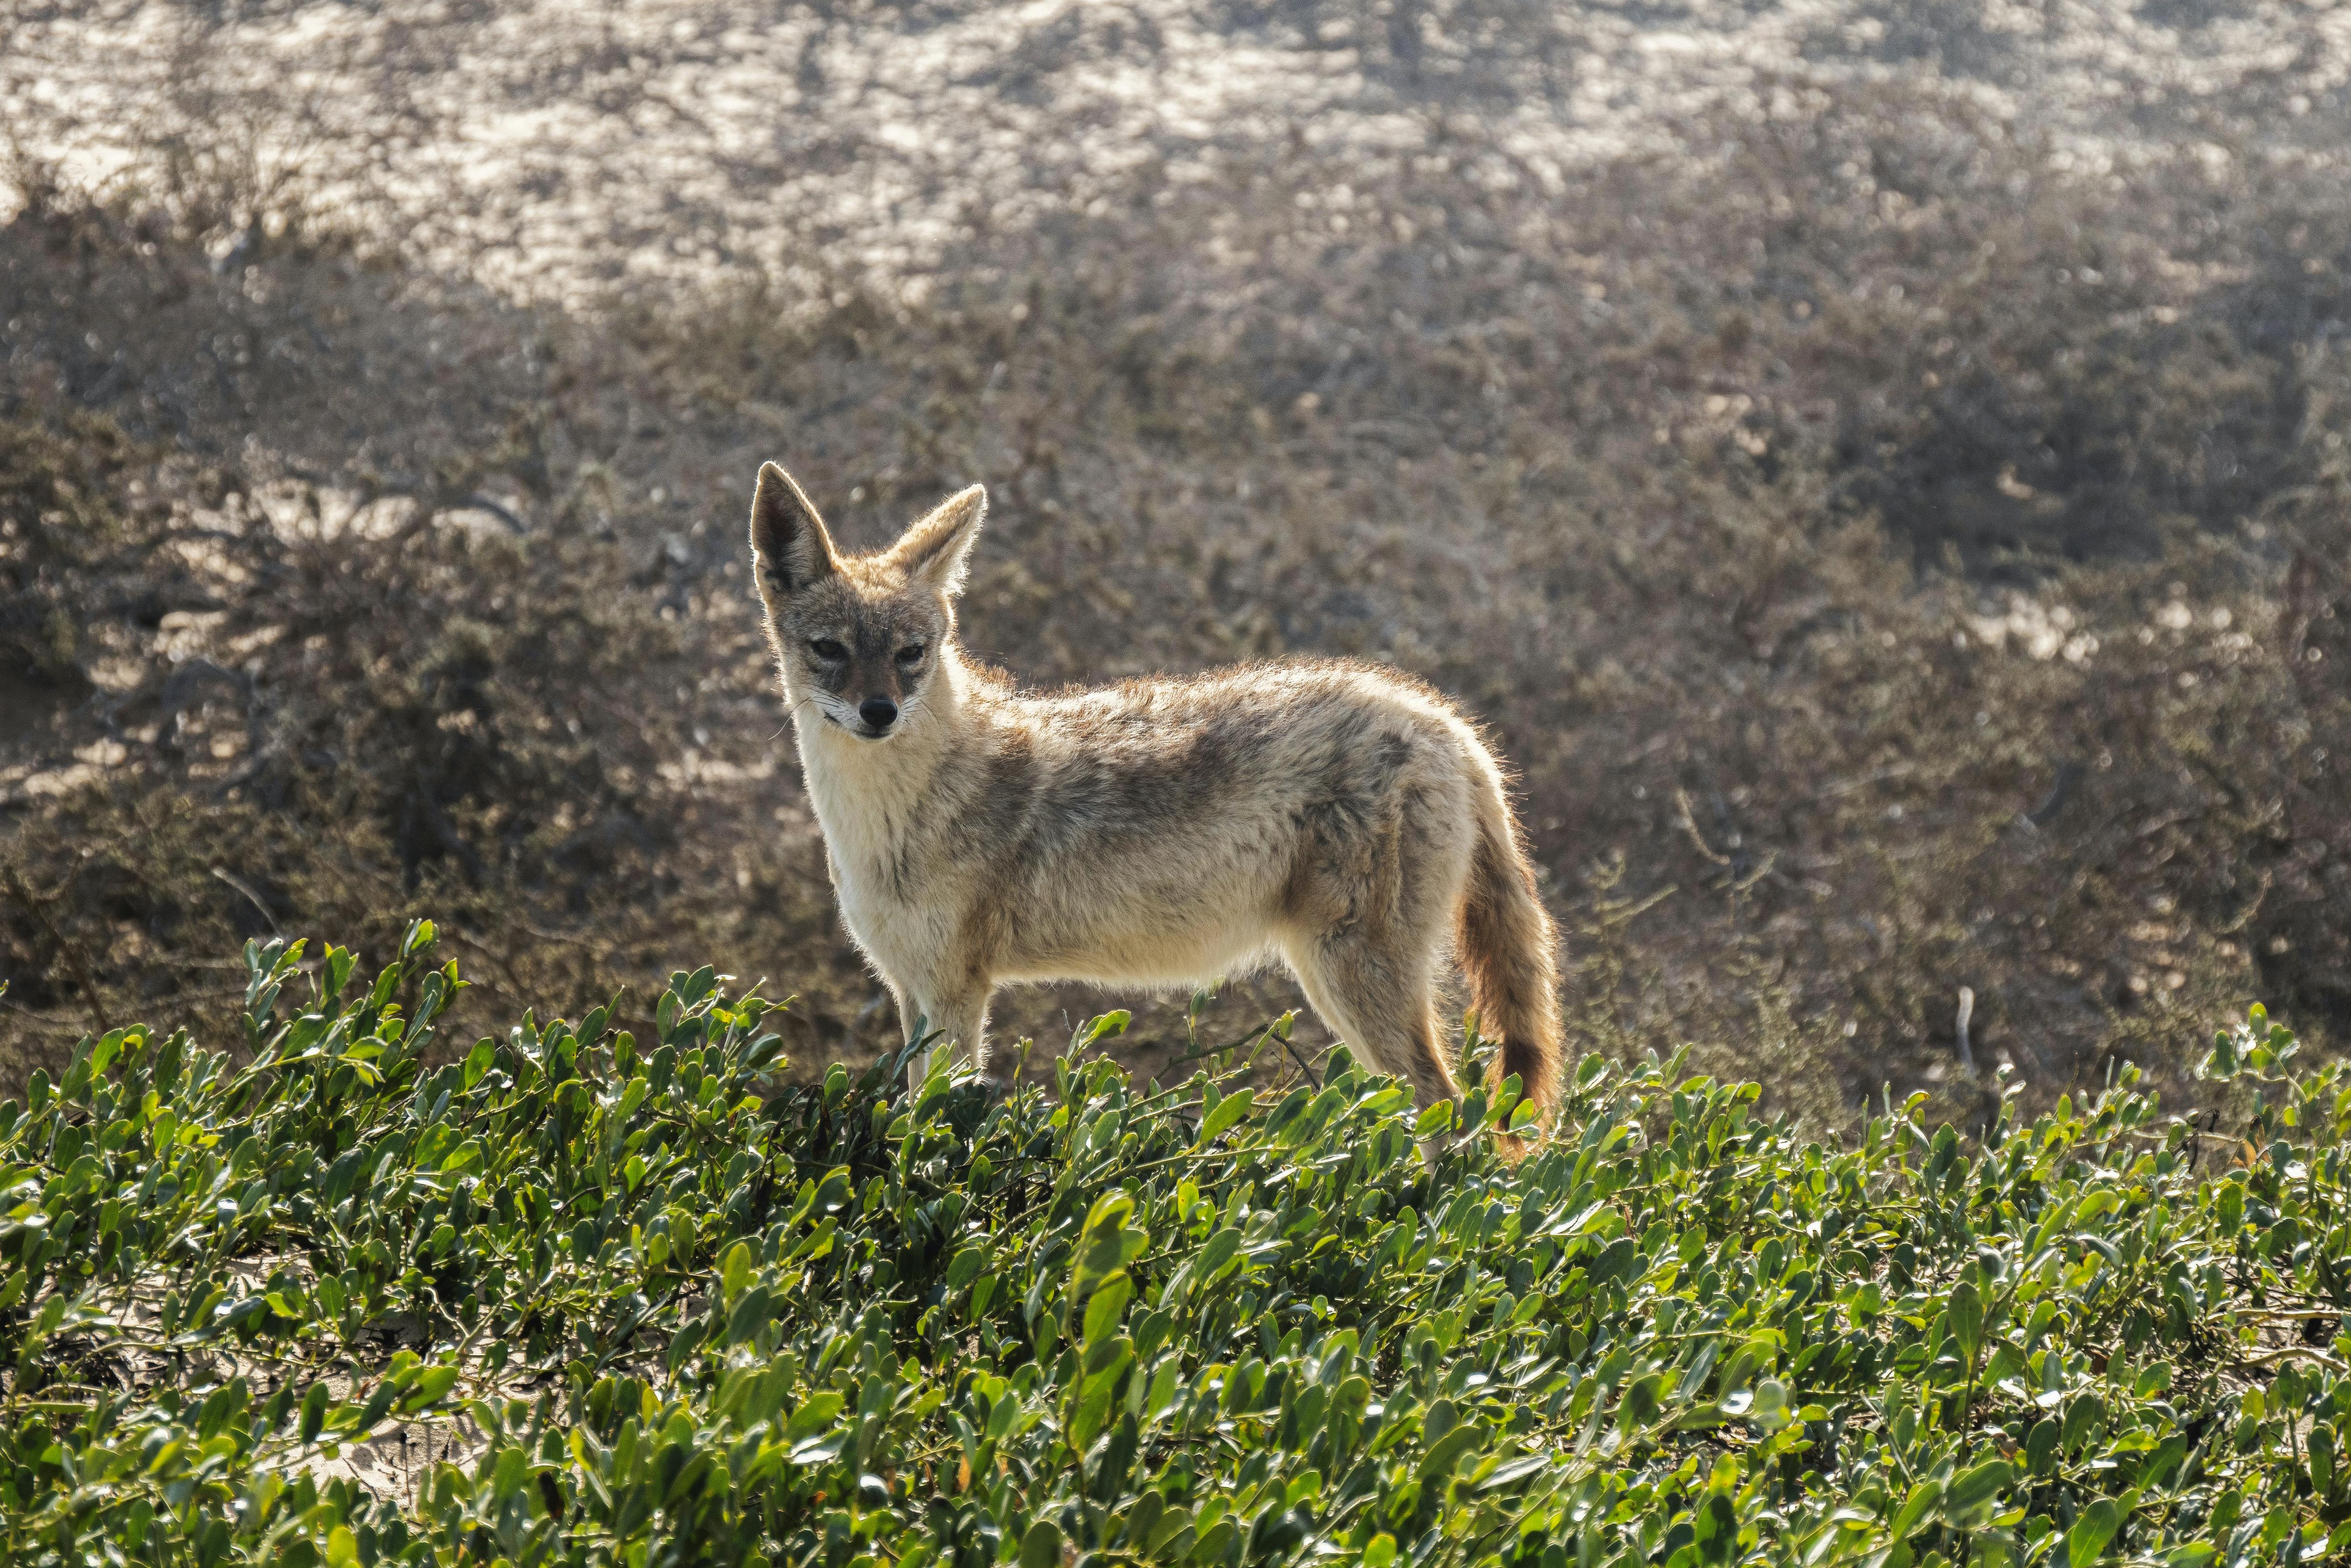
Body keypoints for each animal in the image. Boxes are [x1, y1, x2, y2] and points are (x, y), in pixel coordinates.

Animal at [746, 460, 1563, 1121]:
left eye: (910, 654)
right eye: (830, 650)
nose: (878, 713)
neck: (887, 819)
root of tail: (1444, 721)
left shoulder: (956, 991)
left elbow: (929, 1129)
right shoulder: (909, 989)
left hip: (1350, 984)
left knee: (1449, 1112)